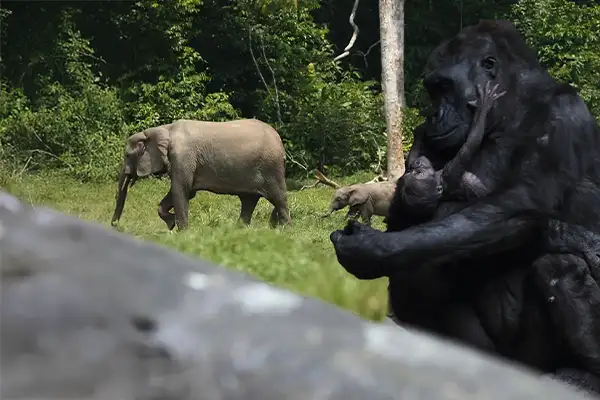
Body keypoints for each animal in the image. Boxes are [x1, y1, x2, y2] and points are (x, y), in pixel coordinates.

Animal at [112, 119, 292, 230]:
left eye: (127, 155)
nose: (115, 226)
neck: (162, 130)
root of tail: (280, 142)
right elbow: (184, 192)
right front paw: (172, 224)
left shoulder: (183, 158)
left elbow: (181, 190)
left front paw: (182, 233)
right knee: (248, 201)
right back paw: (237, 231)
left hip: (271, 168)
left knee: (279, 199)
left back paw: (285, 232)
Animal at [386, 81, 504, 231]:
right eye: (419, 174)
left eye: (415, 172)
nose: (417, 165)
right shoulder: (449, 173)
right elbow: (469, 147)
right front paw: (484, 106)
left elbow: (412, 157)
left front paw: (421, 130)